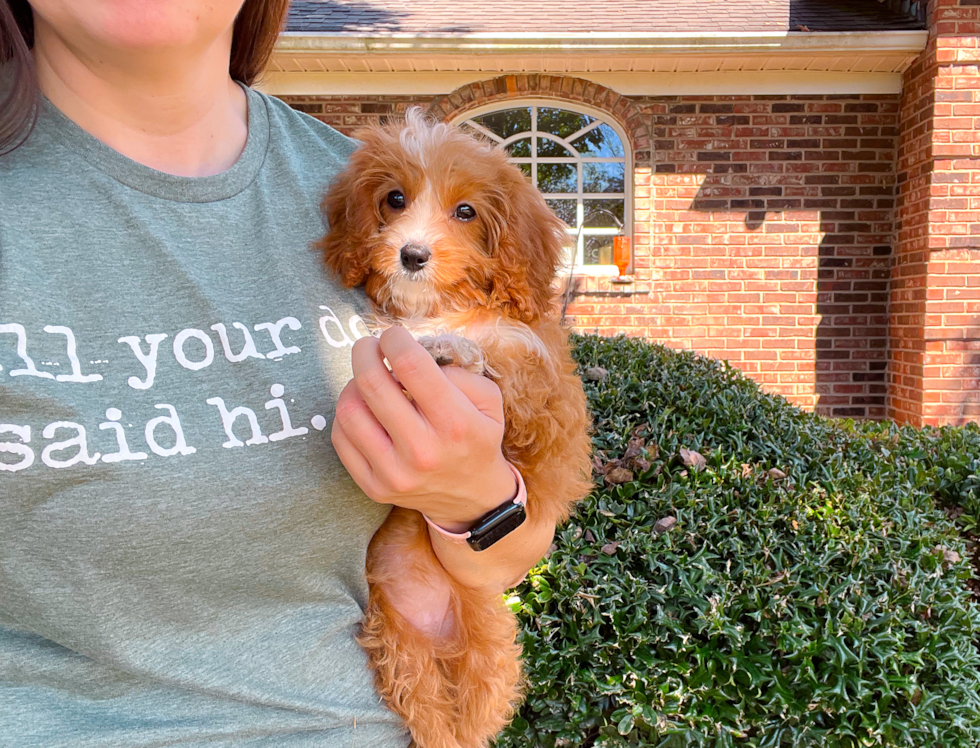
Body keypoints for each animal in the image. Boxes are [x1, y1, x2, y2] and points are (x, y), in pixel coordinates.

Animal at [322, 108, 592, 744]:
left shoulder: (546, 403)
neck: (444, 306)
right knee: (430, 713)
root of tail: (436, 624)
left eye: (465, 211)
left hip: (489, 649)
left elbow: (506, 363)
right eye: (394, 198)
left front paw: (456, 351)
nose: (412, 254)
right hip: (400, 648)